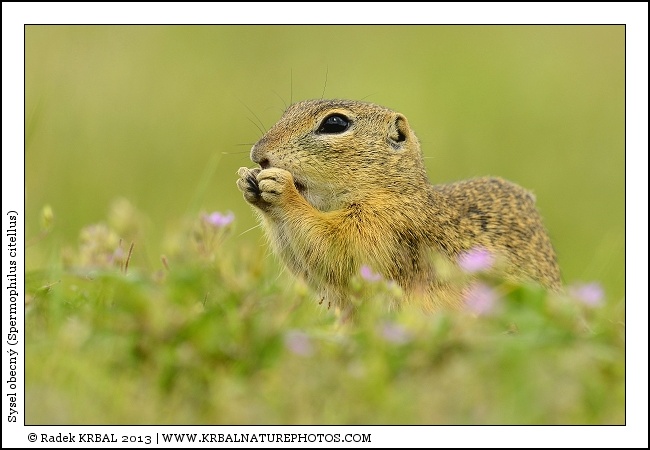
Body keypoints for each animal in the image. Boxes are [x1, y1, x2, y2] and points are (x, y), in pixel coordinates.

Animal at [236, 99, 561, 316]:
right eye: (287, 112)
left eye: (335, 123)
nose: (258, 154)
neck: (394, 190)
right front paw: (247, 180)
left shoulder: (385, 225)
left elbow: (339, 251)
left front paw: (281, 189)